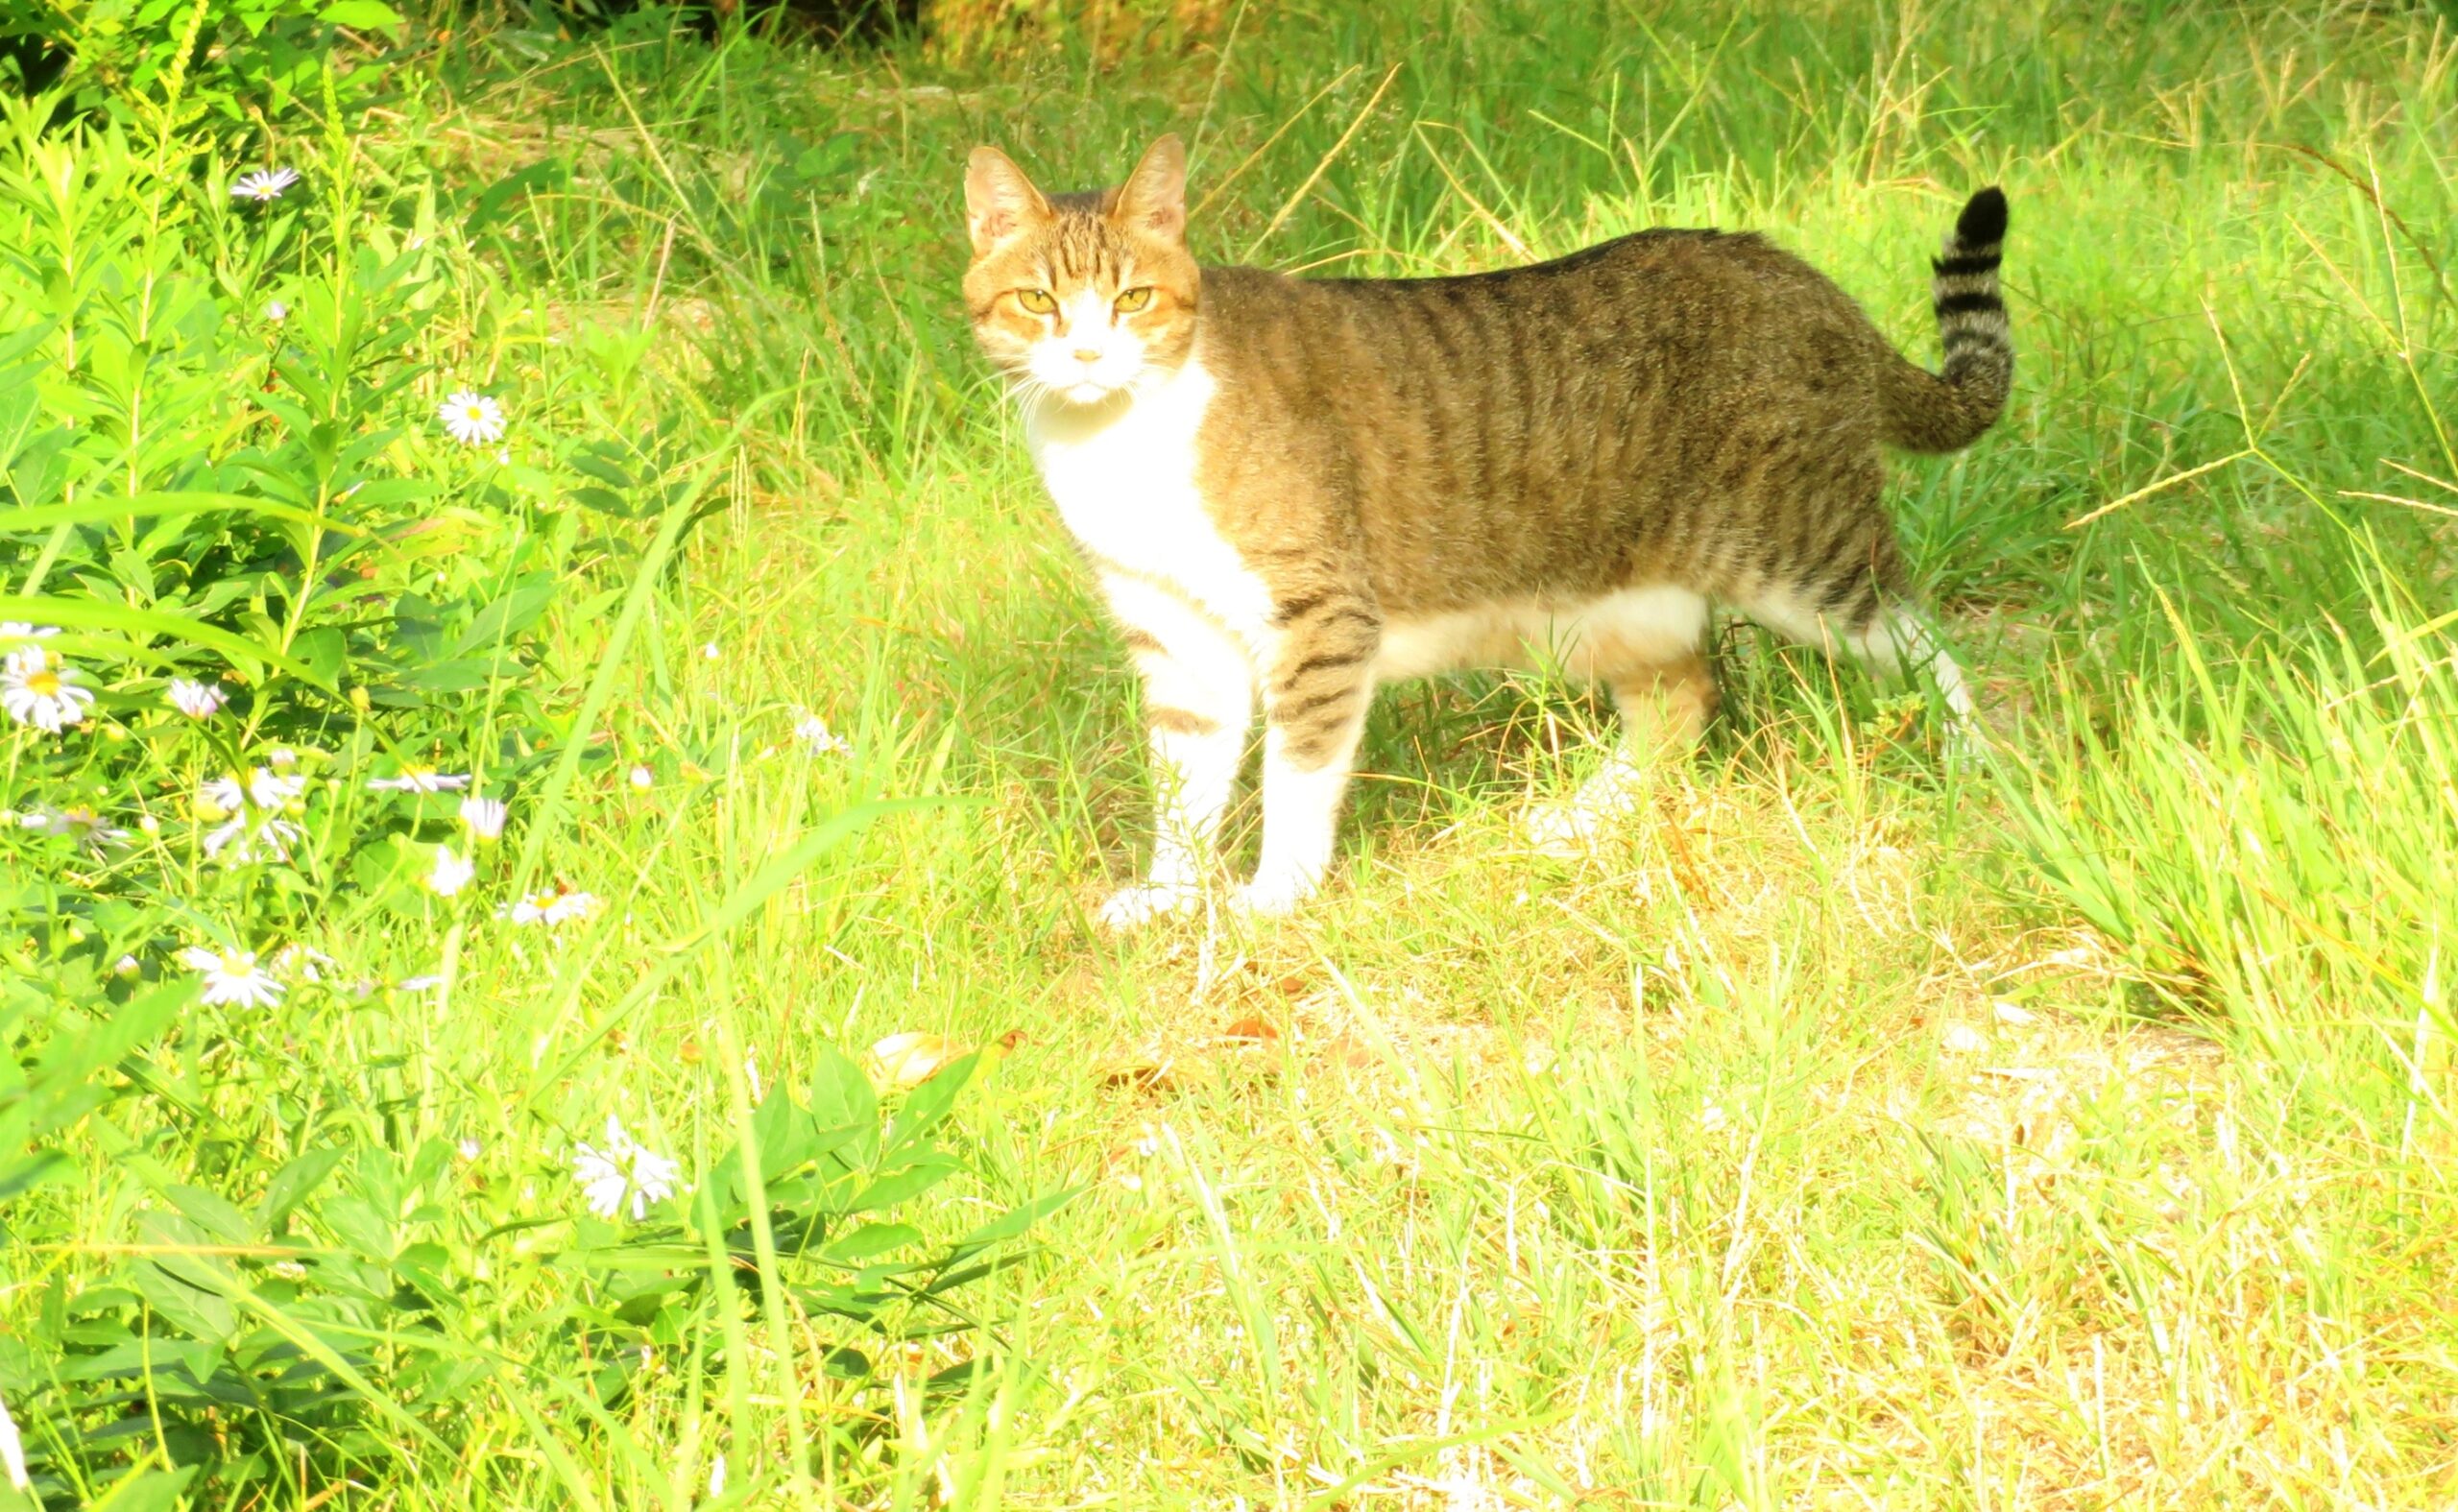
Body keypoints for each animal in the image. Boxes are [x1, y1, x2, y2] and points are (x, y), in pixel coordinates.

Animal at [958, 135, 2015, 929]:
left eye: (1132, 298)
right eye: (1037, 301)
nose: (1087, 355)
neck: (1115, 437)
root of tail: (1798, 275)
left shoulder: (1320, 616)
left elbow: (1296, 774)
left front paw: (1276, 895)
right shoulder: (1175, 636)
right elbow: (1183, 784)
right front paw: (1173, 896)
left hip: (1799, 554)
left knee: (1927, 644)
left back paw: (1981, 762)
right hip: (1620, 604)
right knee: (1682, 698)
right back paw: (1578, 819)